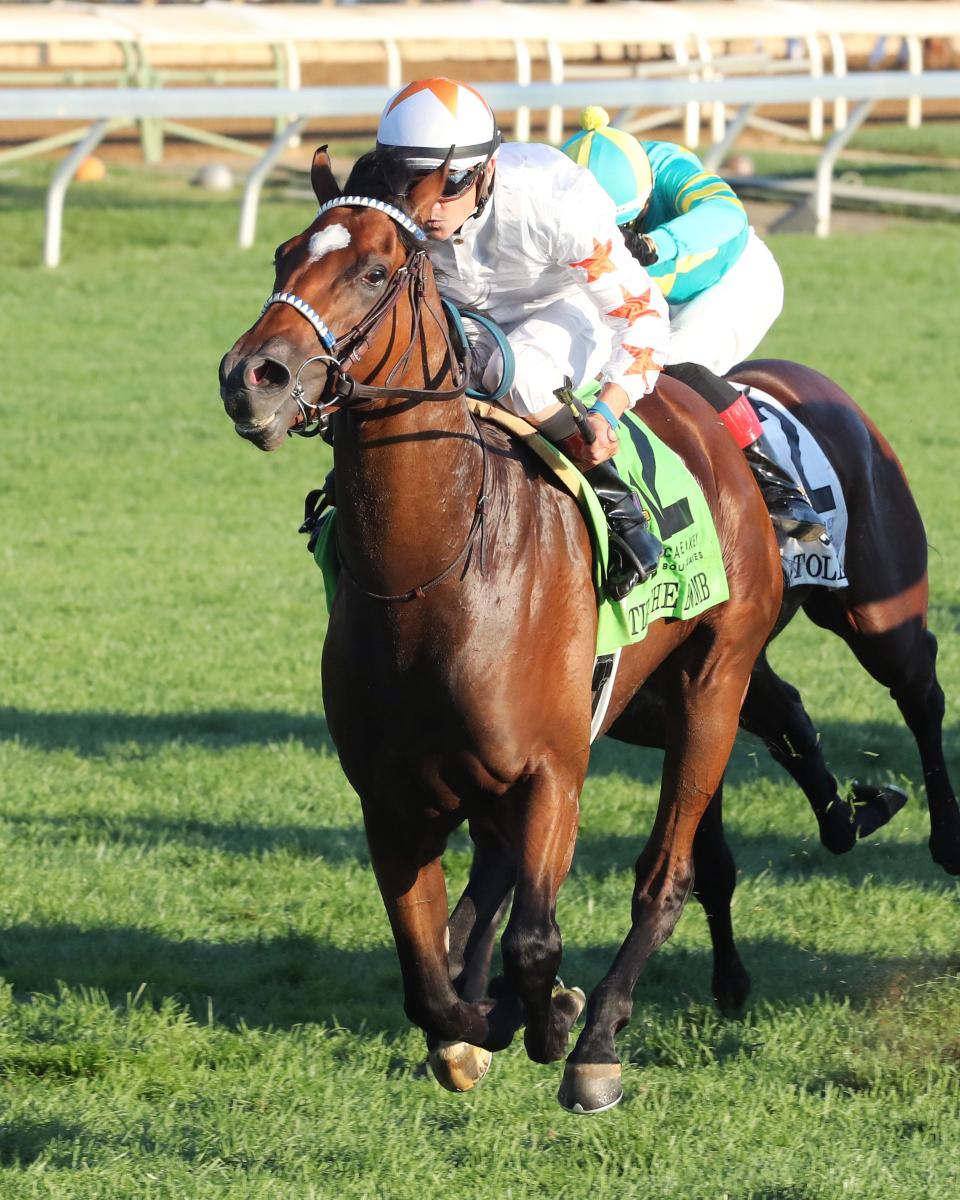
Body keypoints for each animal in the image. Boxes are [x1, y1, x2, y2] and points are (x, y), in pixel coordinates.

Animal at [219, 150, 960, 1113]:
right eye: (282, 254)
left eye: (375, 272)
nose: (252, 375)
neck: (435, 575)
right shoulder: (393, 798)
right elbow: (429, 979)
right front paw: (476, 1026)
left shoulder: (550, 772)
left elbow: (536, 942)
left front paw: (558, 1021)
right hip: (660, 695)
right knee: (774, 724)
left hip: (808, 636)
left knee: (892, 706)